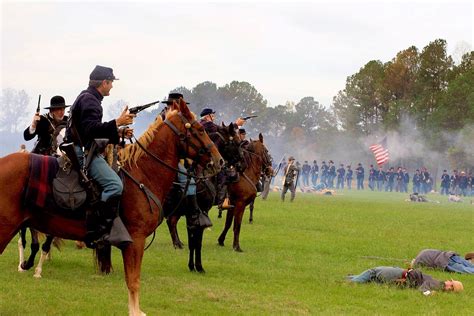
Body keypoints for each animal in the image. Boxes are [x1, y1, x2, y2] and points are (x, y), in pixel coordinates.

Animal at [0, 99, 223, 316]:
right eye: (200, 129)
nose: (219, 160)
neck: (142, 175)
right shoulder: (136, 240)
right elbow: (133, 280)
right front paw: (135, 311)